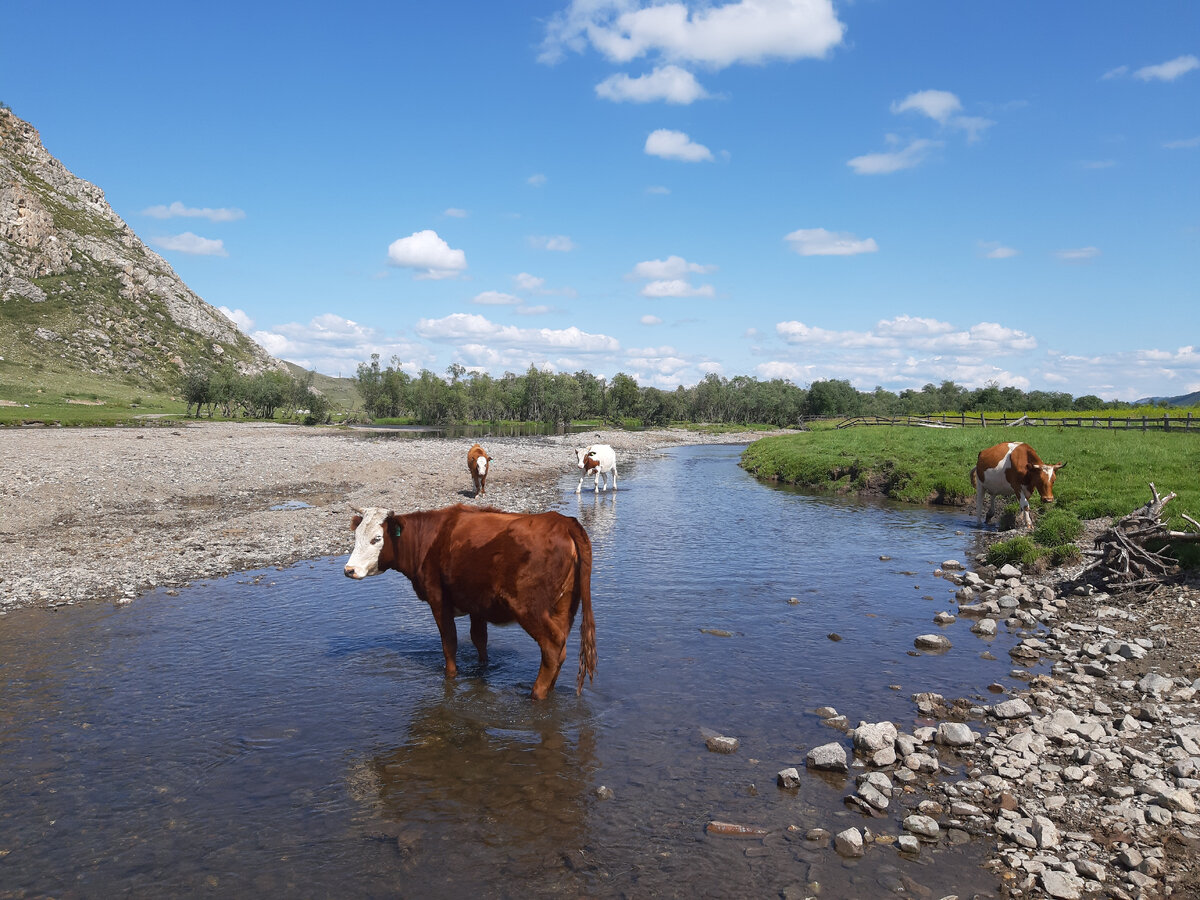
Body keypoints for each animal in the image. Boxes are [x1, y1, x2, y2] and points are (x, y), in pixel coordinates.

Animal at [343, 504, 595, 700]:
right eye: (356, 537)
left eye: (377, 539)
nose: (349, 570)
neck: (428, 539)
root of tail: (562, 521)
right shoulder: (477, 604)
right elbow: (479, 639)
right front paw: (482, 668)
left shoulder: (438, 599)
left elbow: (449, 642)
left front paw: (451, 676)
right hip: (563, 608)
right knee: (561, 648)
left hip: (529, 608)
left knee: (552, 647)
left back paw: (537, 694)